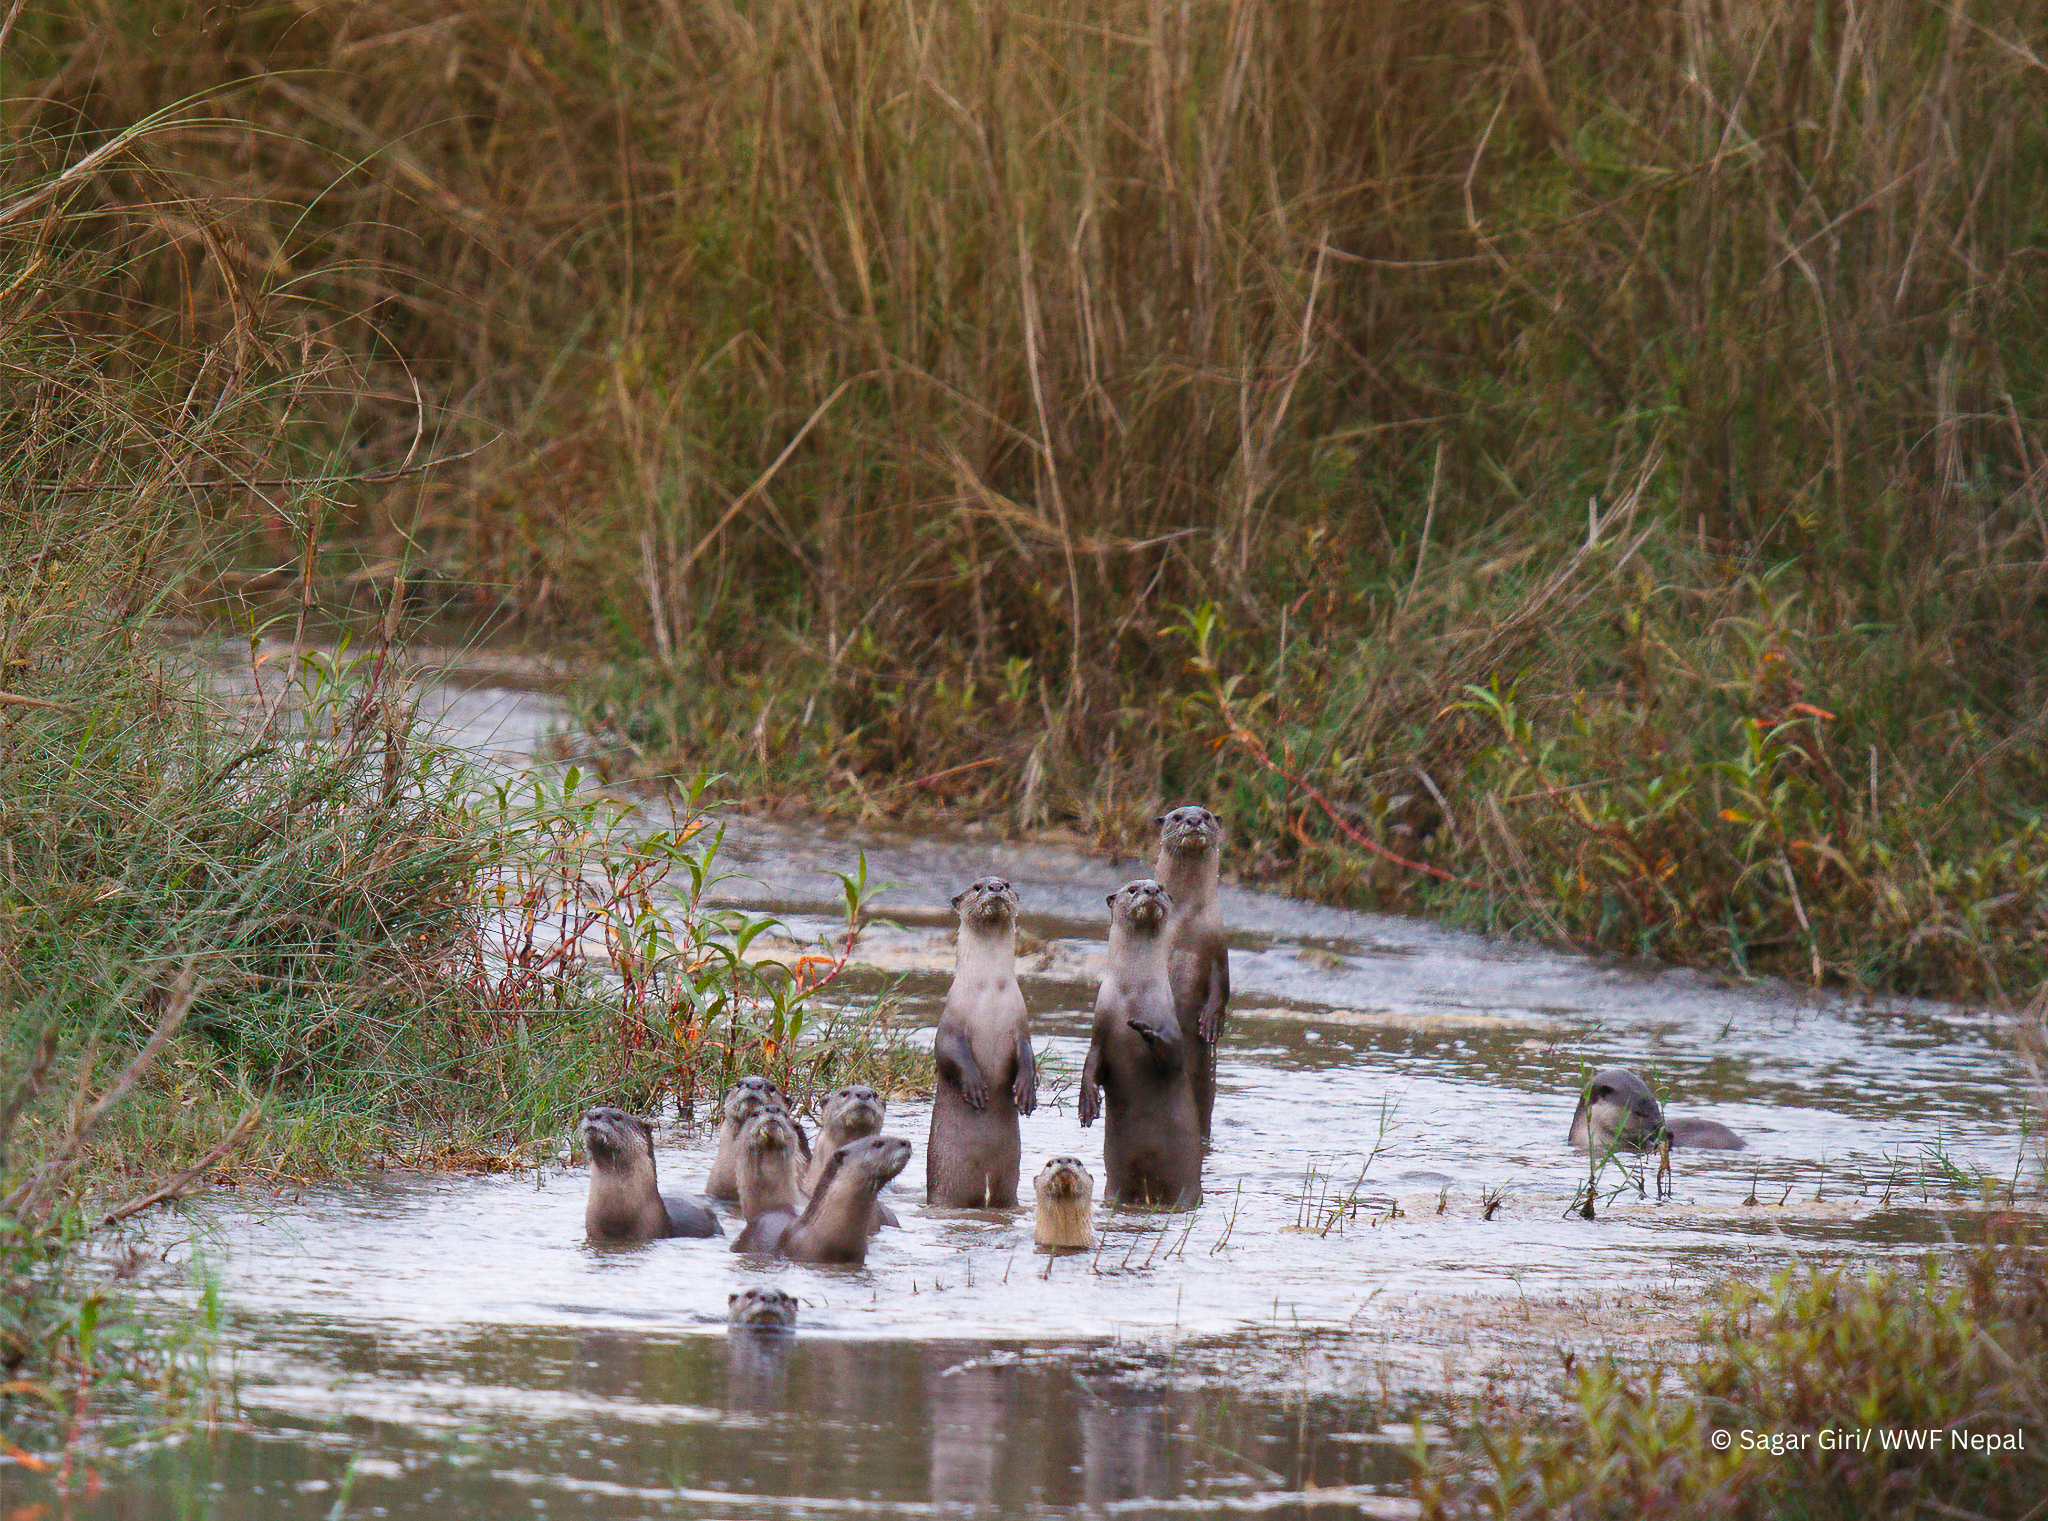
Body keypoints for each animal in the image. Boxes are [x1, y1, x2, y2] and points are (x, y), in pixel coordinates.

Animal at [927, 878, 1037, 1208]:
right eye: (977, 887)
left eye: (1008, 883)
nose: (995, 886)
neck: (989, 991)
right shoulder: (950, 1024)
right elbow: (948, 1053)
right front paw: (975, 1086)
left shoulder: (1020, 1024)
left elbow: (1028, 1054)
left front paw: (1026, 1090)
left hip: (1008, 1180)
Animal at [1079, 880, 1202, 1208]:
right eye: (1133, 889)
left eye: (1161, 887)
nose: (1151, 890)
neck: (1133, 994)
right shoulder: (1100, 1028)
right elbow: (1091, 1064)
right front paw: (1087, 1103)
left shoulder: (1171, 1023)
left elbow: (1174, 1057)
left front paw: (1145, 1030)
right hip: (1118, 1180)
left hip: (1186, 1179)